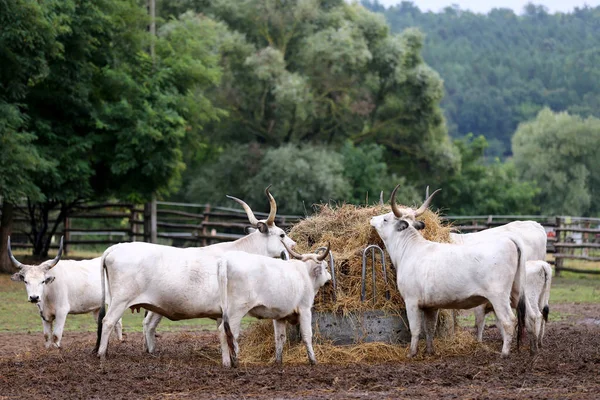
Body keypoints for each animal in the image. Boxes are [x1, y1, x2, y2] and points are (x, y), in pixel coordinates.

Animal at [94, 188, 298, 360]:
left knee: (145, 325)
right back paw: (102, 355)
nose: (294, 245)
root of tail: (115, 247)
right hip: (120, 300)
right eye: (281, 234)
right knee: (108, 321)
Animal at [368, 186, 540, 358]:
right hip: (517, 291)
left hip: (499, 296)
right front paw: (430, 351)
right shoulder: (431, 305)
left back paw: (504, 353)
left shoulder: (411, 301)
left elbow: (415, 329)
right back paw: (533, 350)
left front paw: (412, 353)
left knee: (509, 320)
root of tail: (509, 239)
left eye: (385, 219)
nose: (372, 218)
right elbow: (429, 328)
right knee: (531, 316)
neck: (410, 250)